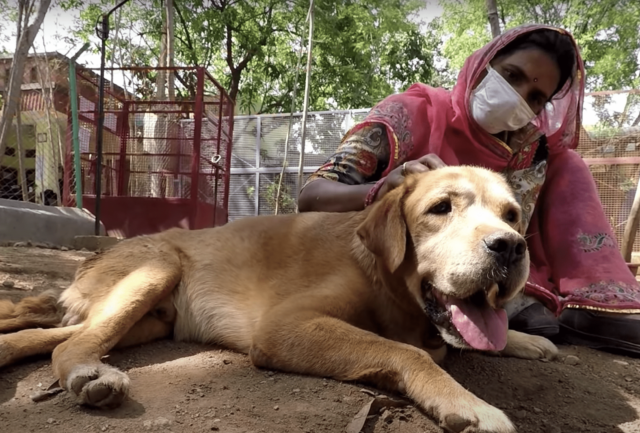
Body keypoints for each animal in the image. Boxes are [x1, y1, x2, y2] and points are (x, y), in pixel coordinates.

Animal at [0, 166, 556, 432]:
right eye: (441, 208)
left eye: (512, 215)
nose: (511, 246)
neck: (383, 277)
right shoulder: (285, 325)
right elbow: (409, 352)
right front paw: (469, 405)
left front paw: (528, 341)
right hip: (155, 270)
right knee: (65, 346)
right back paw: (88, 374)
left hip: (147, 319)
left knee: (47, 335)